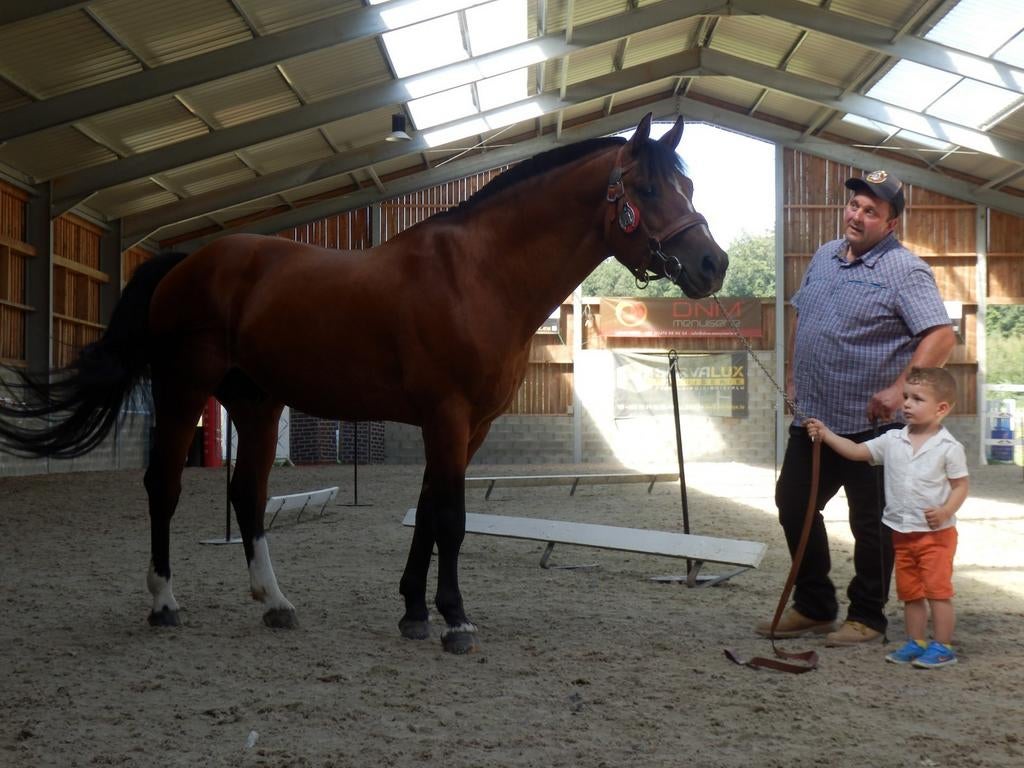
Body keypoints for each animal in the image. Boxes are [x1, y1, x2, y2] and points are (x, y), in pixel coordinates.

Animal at [0, 113, 727, 654]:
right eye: (650, 189)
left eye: (691, 189)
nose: (712, 264)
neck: (479, 274)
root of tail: (186, 262)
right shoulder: (447, 416)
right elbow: (451, 519)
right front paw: (454, 619)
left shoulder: (468, 427)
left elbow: (429, 511)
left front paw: (414, 611)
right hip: (185, 391)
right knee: (165, 487)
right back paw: (164, 602)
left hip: (257, 405)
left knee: (247, 495)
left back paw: (275, 602)